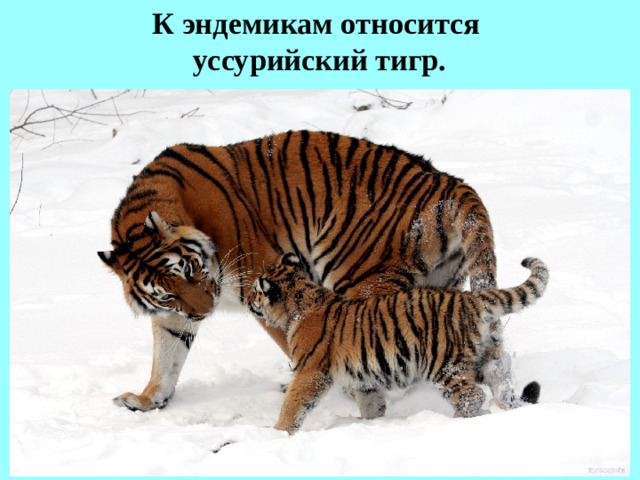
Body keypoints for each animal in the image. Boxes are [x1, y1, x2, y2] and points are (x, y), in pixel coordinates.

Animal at [98, 130, 519, 417]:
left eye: (189, 269)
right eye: (166, 293)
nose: (205, 311)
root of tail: (449, 182)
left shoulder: (262, 281)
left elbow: (297, 343)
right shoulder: (174, 314)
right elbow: (166, 356)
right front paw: (147, 400)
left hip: (361, 278)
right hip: (440, 284)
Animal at [248, 253, 548, 434]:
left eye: (255, 291)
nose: (249, 300)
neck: (299, 303)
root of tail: (470, 299)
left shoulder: (310, 372)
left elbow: (293, 404)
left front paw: (277, 432)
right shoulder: (362, 377)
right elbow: (370, 402)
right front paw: (368, 422)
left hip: (444, 364)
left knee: (471, 396)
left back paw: (453, 424)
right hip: (486, 358)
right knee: (503, 384)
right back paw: (510, 412)